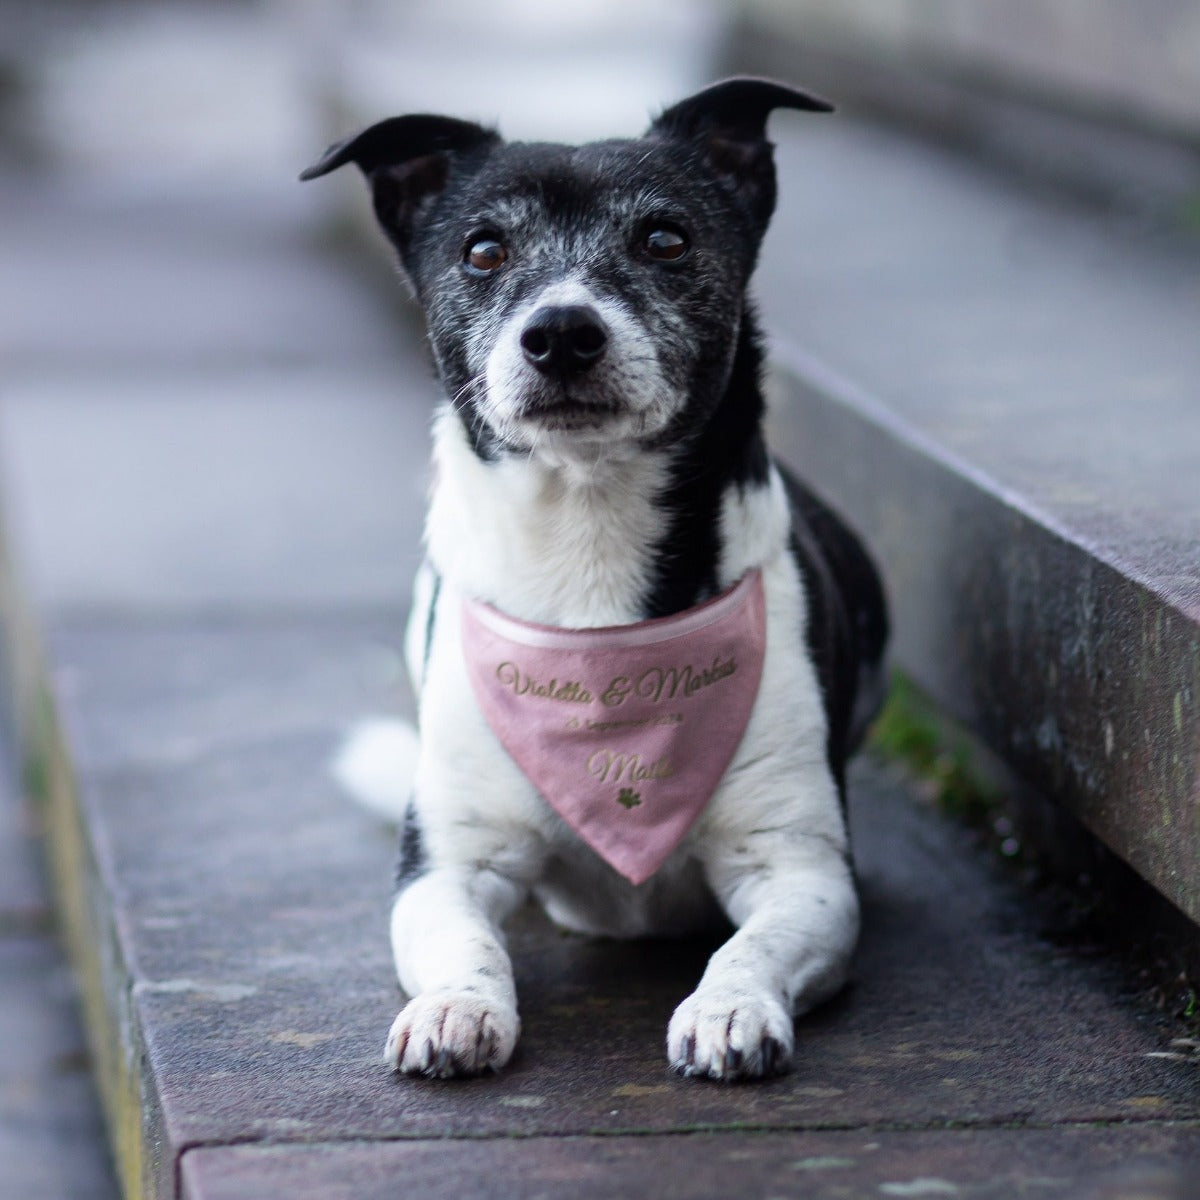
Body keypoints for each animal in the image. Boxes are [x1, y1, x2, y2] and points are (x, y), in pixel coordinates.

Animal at [304, 79, 888, 1084]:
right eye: (484, 250)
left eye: (666, 240)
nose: (562, 332)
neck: (589, 540)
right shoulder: (443, 868)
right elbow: (466, 941)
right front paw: (457, 1007)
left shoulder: (804, 869)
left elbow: (750, 946)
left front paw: (730, 1007)